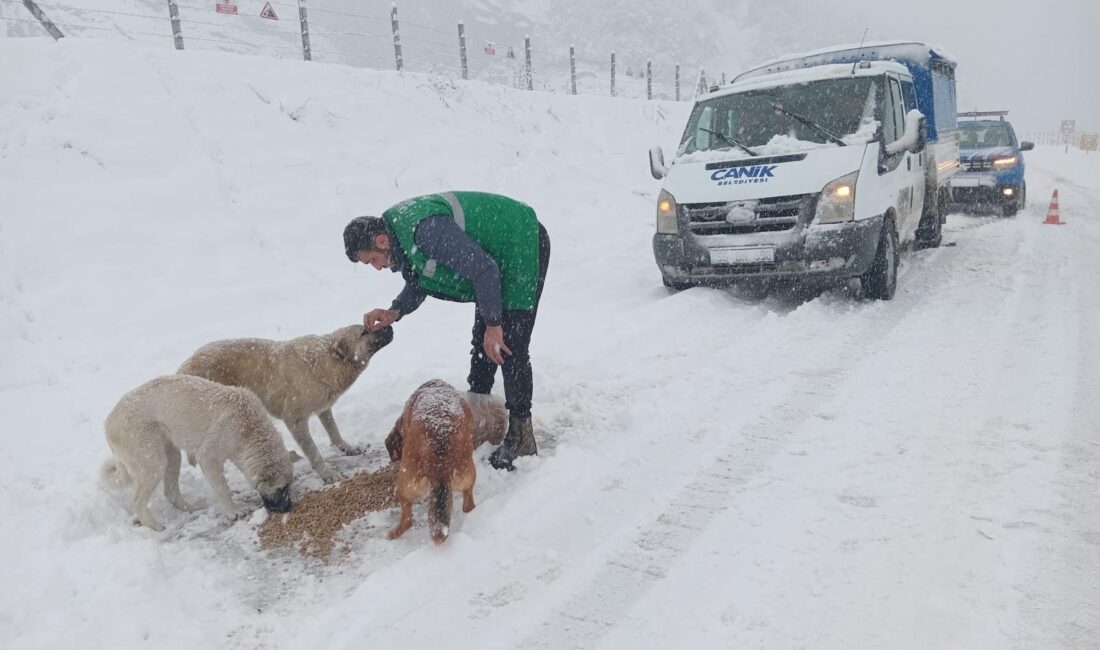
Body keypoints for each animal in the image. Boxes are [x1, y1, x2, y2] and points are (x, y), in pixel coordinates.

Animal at [100, 373, 292, 532]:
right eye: (281, 488)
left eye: (288, 486)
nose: (289, 508)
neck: (249, 429)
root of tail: (109, 422)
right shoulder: (209, 455)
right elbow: (222, 488)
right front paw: (234, 511)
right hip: (153, 462)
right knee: (138, 501)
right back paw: (154, 526)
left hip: (172, 454)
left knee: (170, 492)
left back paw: (191, 508)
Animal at [176, 325, 391, 483]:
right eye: (364, 332)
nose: (389, 325)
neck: (323, 362)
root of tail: (182, 370)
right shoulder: (294, 420)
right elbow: (313, 452)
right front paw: (327, 474)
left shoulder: (323, 408)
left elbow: (334, 432)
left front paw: (347, 448)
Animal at [385, 378, 475, 547]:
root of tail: (440, 465)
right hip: (467, 475)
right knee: (469, 505)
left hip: (404, 485)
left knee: (407, 520)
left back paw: (392, 533)